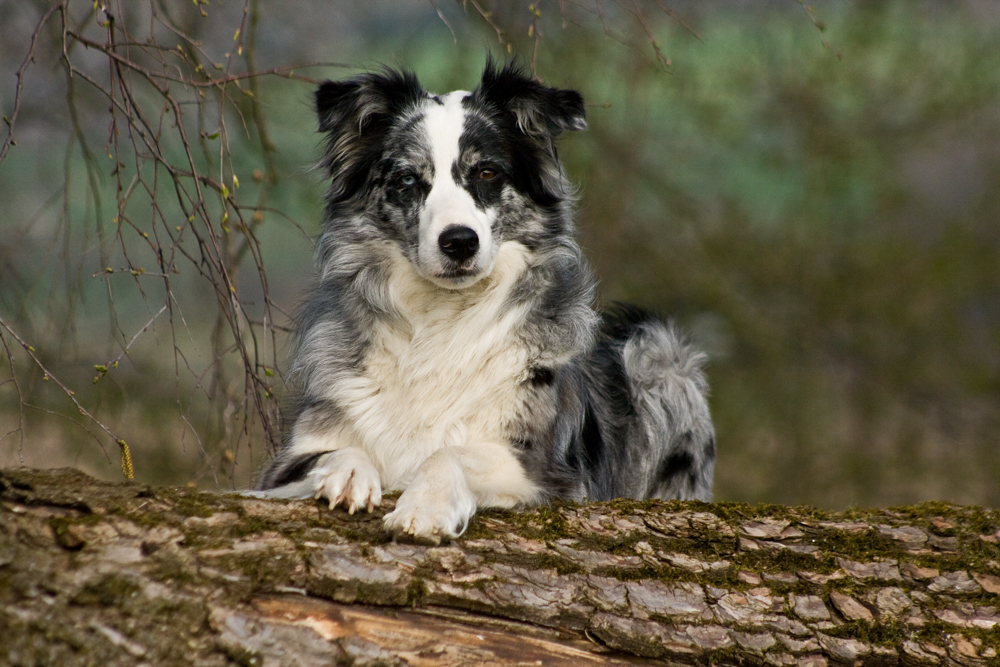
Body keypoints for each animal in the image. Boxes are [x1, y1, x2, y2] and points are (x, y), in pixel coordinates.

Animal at [254, 60, 716, 544]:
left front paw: (424, 507)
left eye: (487, 173)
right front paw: (348, 472)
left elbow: (451, 453)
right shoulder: (283, 464)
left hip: (656, 351)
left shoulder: (548, 471)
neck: (441, 317)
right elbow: (333, 451)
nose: (459, 242)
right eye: (406, 179)